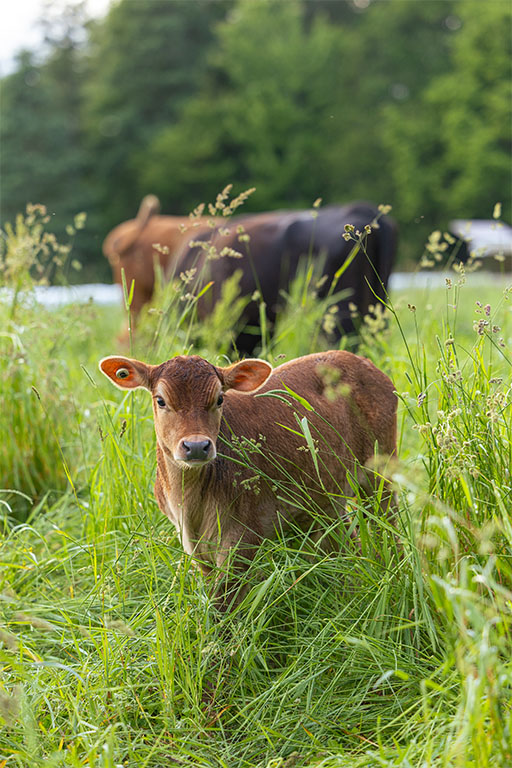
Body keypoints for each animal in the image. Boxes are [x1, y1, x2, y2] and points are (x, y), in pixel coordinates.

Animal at [99, 350, 397, 610]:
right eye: (161, 400)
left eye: (220, 399)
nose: (196, 446)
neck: (189, 501)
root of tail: (360, 360)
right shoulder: (192, 543)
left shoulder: (243, 535)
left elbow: (223, 606)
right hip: (322, 501)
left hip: (380, 471)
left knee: (387, 525)